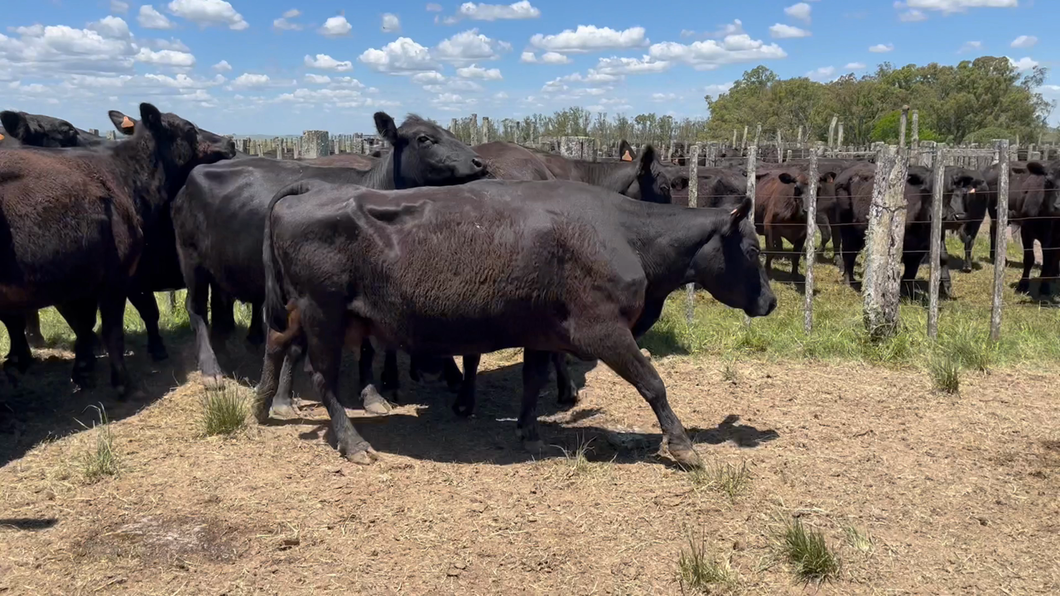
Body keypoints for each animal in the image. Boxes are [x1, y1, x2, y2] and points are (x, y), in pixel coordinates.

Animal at [173, 111, 487, 413]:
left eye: (448, 131)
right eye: (425, 138)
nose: (479, 162)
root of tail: (194, 175)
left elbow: (366, 347)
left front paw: (372, 393)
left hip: (220, 270)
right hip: (190, 260)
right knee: (196, 308)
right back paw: (211, 370)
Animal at [252, 178, 775, 466]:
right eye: (752, 250)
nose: (770, 301)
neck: (626, 234)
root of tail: (312, 189)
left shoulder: (544, 331)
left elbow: (532, 381)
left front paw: (528, 433)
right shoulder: (603, 330)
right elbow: (653, 383)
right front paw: (683, 445)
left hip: (306, 311)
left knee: (278, 340)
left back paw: (263, 404)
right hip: (325, 314)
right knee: (322, 377)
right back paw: (353, 442)